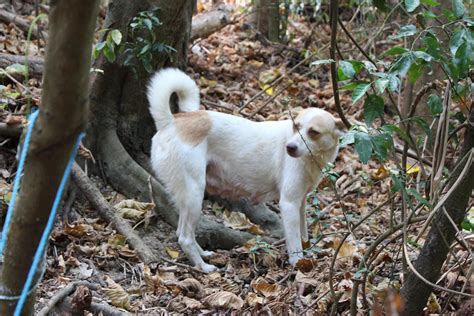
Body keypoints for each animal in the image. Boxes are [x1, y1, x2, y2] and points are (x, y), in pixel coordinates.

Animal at [148, 68, 340, 272]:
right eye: (296, 127)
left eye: (314, 132)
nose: (290, 147)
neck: (312, 159)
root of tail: (170, 122)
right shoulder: (288, 204)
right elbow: (295, 242)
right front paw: (299, 264)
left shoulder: (300, 201)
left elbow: (304, 234)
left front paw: (309, 252)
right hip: (194, 194)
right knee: (184, 237)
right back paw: (204, 267)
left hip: (188, 198)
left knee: (182, 232)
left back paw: (204, 254)